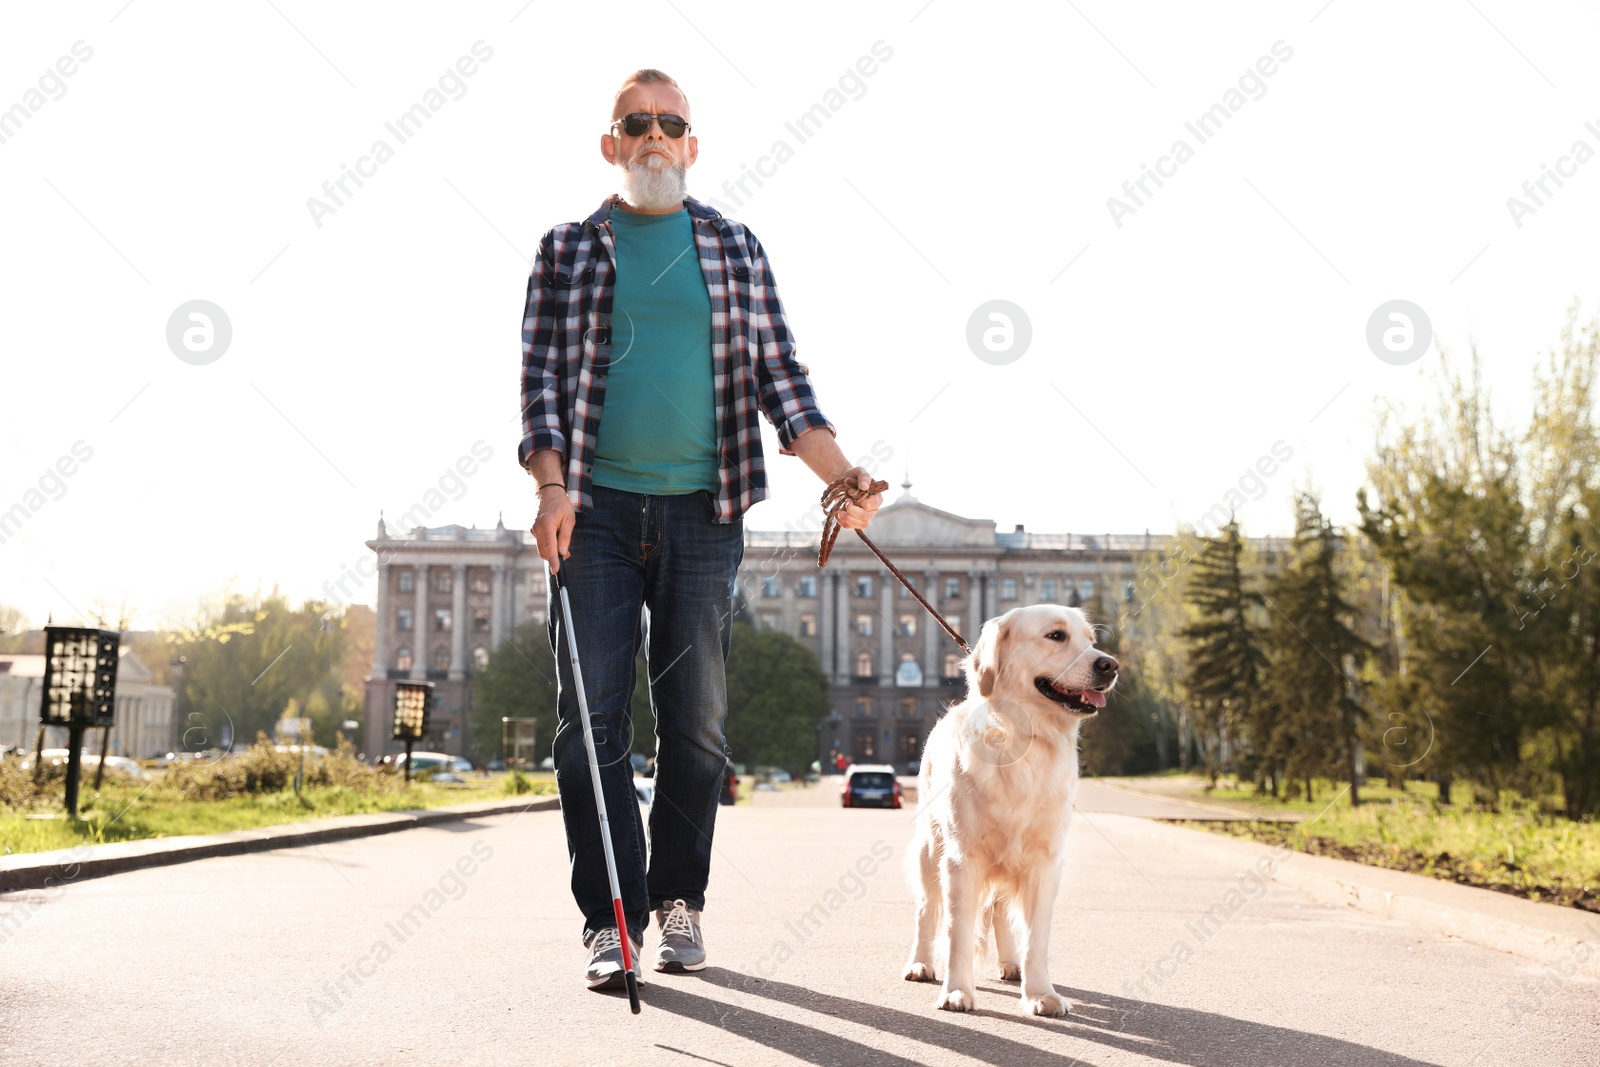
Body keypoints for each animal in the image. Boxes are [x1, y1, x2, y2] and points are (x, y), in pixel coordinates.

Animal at [908, 604, 1120, 1017]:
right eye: (1056, 635)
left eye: (1091, 640)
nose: (1111, 665)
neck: (1026, 739)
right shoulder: (962, 860)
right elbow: (957, 933)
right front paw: (956, 991)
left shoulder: (1044, 862)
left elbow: (1036, 937)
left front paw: (1040, 993)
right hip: (930, 849)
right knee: (927, 910)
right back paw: (920, 963)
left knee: (1000, 913)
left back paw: (1010, 964)